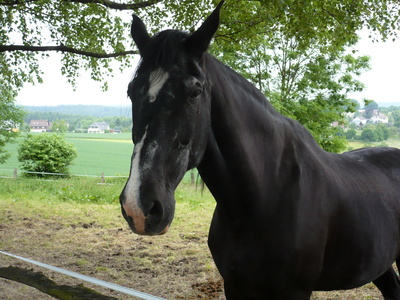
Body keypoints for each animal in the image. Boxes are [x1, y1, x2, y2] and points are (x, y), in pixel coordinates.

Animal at [119, 1, 400, 298]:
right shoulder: (234, 285)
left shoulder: (295, 291)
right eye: (131, 91)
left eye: (194, 92)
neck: (261, 196)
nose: (139, 207)